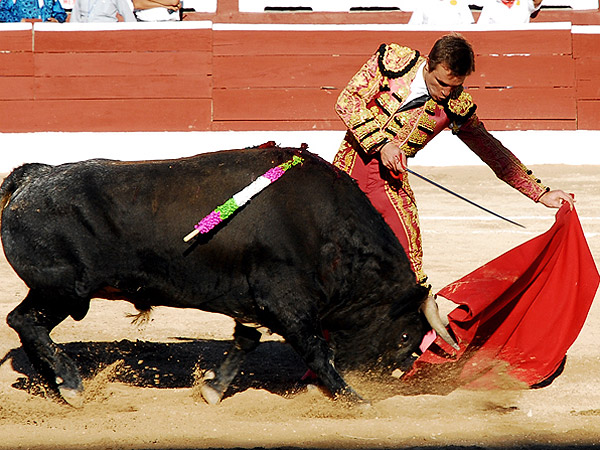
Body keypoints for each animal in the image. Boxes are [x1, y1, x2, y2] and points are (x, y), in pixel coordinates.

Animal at [0, 147, 442, 404]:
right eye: (406, 336)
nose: (389, 381)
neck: (327, 230)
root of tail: (34, 177)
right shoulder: (288, 302)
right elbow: (316, 349)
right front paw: (355, 399)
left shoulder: (255, 304)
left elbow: (246, 341)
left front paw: (213, 390)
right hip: (63, 290)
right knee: (25, 322)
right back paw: (71, 385)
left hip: (56, 292)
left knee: (27, 324)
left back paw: (58, 384)